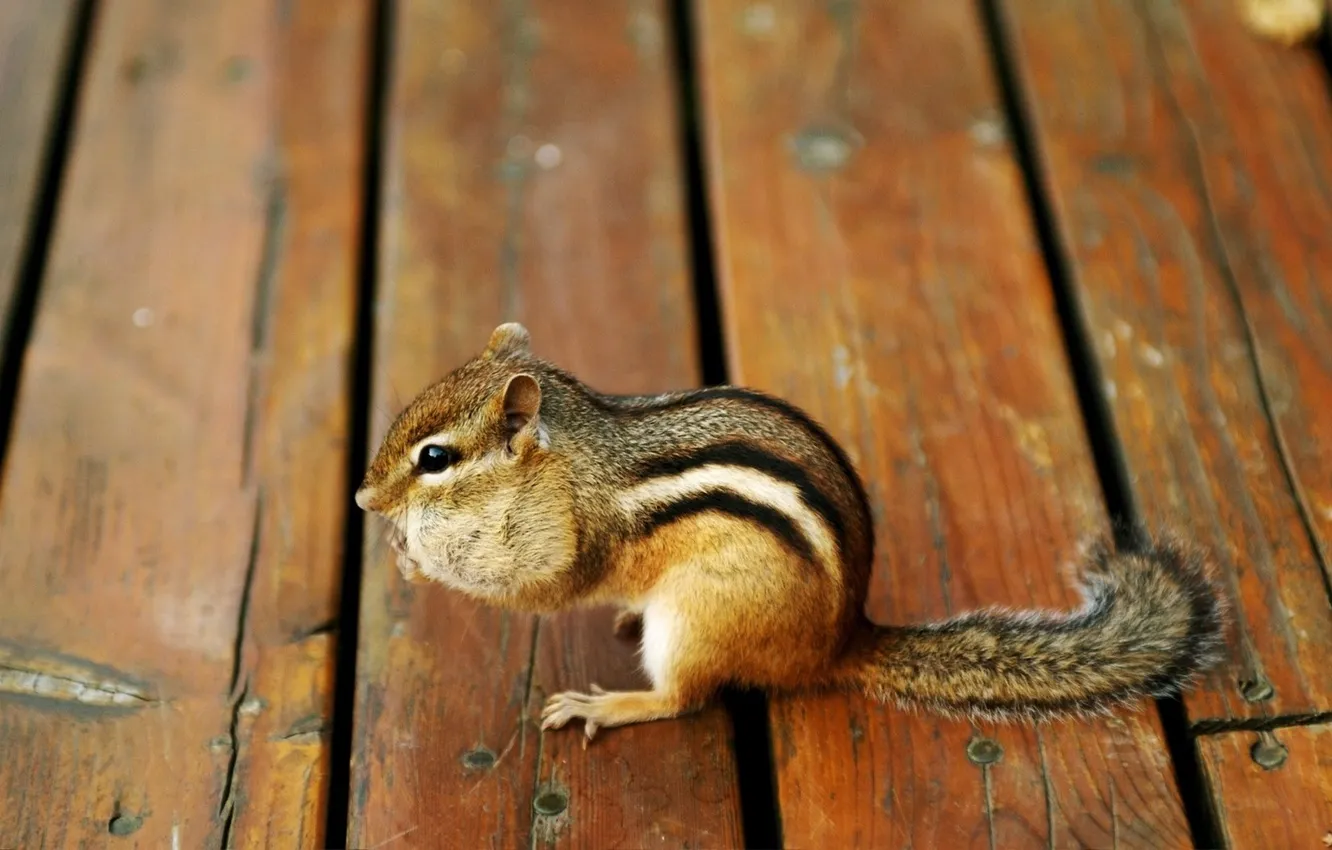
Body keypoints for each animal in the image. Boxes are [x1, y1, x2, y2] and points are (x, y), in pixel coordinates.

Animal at [355, 323, 1228, 741]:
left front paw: (417, 555)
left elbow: (538, 587)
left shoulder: (573, 535)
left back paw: (613, 705)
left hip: (697, 619)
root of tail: (838, 643)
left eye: (435, 458)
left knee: (681, 699)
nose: (363, 499)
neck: (569, 448)